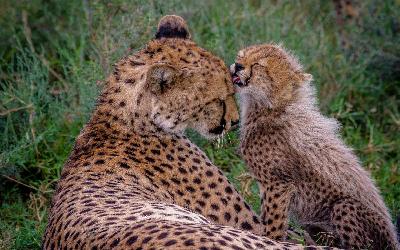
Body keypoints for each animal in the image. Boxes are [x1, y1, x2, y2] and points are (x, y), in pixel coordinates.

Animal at [230, 44, 398, 249]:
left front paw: (269, 240)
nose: (237, 65)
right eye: (241, 56)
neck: (271, 107)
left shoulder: (277, 184)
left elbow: (273, 221)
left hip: (344, 206)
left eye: (258, 65)